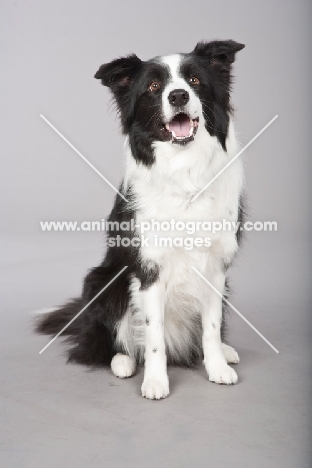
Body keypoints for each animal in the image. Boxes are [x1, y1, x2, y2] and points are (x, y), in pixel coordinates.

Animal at [36, 40, 245, 398]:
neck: (183, 172)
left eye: (194, 81)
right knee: (106, 343)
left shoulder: (217, 266)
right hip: (103, 282)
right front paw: (156, 382)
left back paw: (225, 351)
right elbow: (154, 334)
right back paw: (123, 362)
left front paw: (216, 366)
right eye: (154, 87)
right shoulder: (149, 269)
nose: (178, 96)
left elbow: (212, 325)